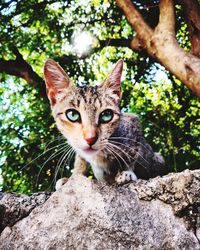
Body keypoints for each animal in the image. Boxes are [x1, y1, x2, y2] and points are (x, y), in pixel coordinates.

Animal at [43, 58, 167, 188]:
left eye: (107, 115)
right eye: (72, 114)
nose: (90, 139)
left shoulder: (133, 122)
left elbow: (130, 155)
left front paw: (125, 172)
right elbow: (80, 160)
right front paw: (73, 177)